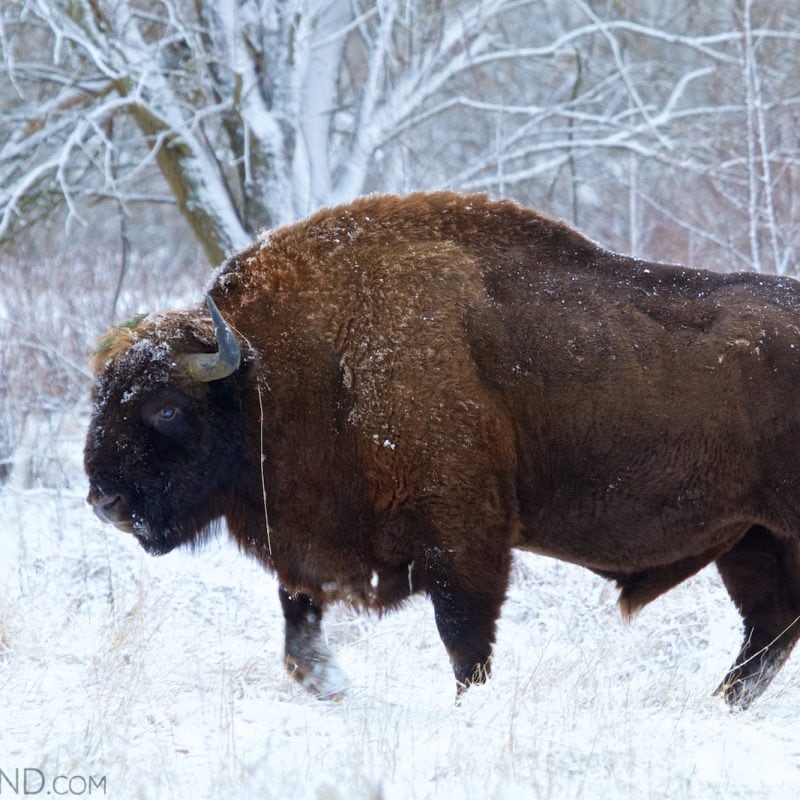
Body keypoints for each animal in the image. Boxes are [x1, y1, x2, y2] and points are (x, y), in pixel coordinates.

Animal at [85, 191, 800, 707]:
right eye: (102, 395)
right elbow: (299, 634)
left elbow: (464, 644)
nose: (104, 500)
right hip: (749, 536)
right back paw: (719, 705)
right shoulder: (308, 547)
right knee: (770, 624)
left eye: (166, 407)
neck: (286, 368)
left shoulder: (463, 539)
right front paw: (332, 689)